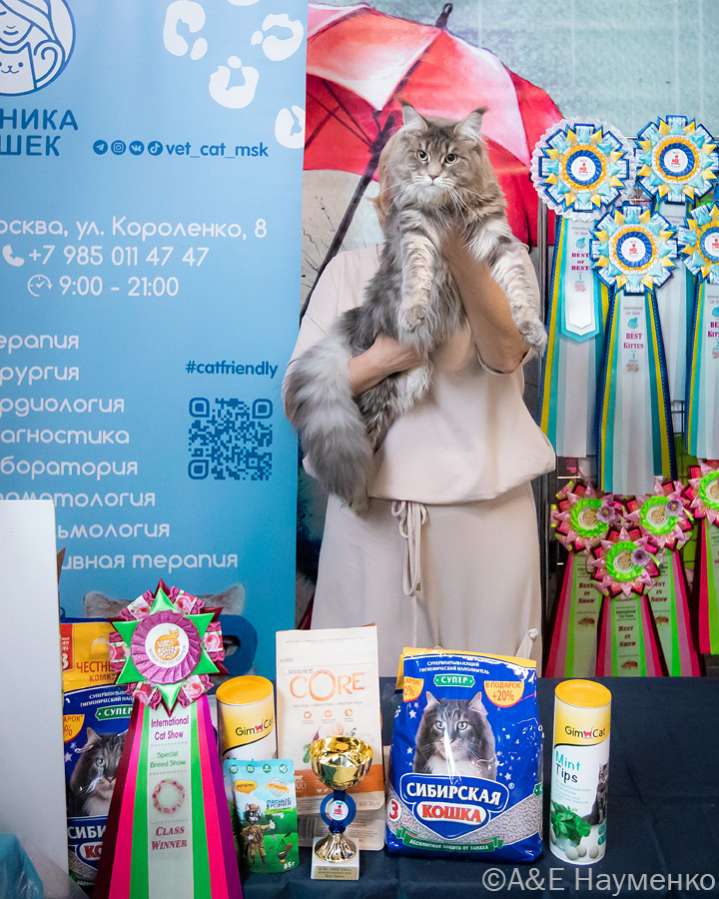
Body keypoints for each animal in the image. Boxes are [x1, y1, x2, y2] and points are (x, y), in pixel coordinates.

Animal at [285, 103, 546, 510]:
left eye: (451, 158)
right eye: (422, 155)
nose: (434, 175)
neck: (445, 210)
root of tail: (360, 320)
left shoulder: (495, 234)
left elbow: (518, 283)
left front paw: (531, 326)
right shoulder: (416, 229)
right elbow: (419, 274)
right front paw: (414, 311)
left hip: (406, 383)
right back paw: (358, 501)